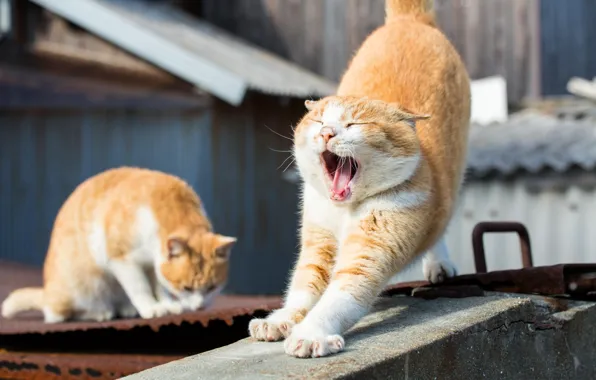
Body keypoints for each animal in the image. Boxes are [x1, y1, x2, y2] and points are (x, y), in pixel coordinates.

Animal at [1, 167, 236, 324]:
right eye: (186, 288)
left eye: (212, 288)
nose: (200, 306)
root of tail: (47, 292)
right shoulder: (121, 258)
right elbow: (141, 287)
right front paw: (152, 308)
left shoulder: (154, 265)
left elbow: (160, 287)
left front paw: (168, 305)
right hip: (83, 286)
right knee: (58, 313)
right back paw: (100, 312)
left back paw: (126, 309)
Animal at [248, 0, 470, 356]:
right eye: (319, 120)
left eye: (354, 125)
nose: (326, 132)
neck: (344, 210)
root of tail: (409, 20)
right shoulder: (319, 240)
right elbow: (302, 288)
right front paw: (279, 320)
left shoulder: (372, 247)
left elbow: (338, 297)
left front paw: (310, 334)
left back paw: (439, 264)